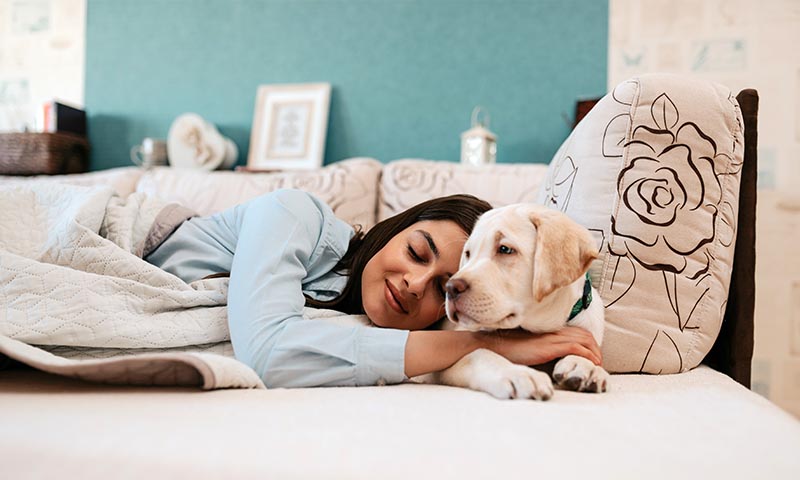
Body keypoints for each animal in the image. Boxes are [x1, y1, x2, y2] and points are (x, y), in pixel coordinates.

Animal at [432, 204, 608, 400]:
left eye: (505, 249)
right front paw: (518, 373)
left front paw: (584, 365)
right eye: (468, 254)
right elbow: (479, 353)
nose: (450, 288)